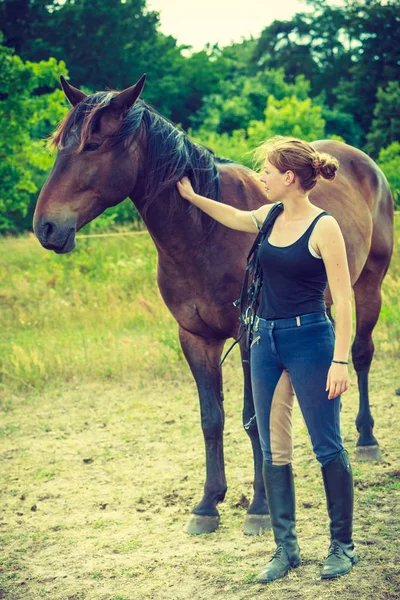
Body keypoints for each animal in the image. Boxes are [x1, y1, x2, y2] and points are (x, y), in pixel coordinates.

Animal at [33, 75, 394, 536]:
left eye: (93, 145)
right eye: (60, 145)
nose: (46, 227)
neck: (202, 233)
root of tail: (363, 163)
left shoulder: (248, 334)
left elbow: (253, 417)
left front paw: (259, 507)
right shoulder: (195, 337)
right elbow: (212, 419)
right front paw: (208, 504)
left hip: (367, 286)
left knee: (360, 354)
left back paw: (366, 440)